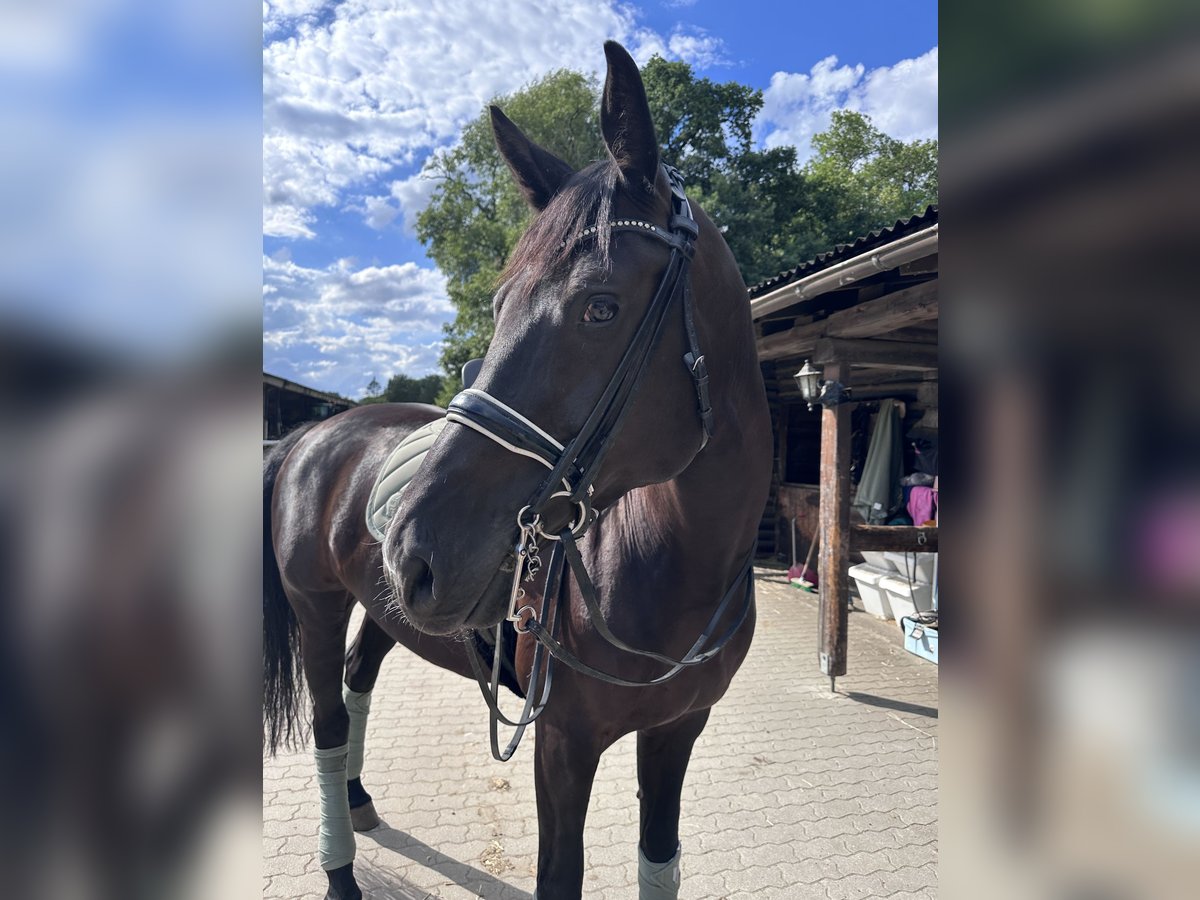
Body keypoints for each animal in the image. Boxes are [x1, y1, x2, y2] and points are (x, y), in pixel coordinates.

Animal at [261, 42, 768, 900]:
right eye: (498, 308)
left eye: (600, 305)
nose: (414, 551)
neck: (674, 567)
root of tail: (313, 434)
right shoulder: (561, 744)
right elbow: (558, 877)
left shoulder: (676, 732)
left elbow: (658, 861)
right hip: (317, 609)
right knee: (328, 726)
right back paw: (339, 869)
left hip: (384, 610)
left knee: (361, 682)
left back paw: (360, 800)